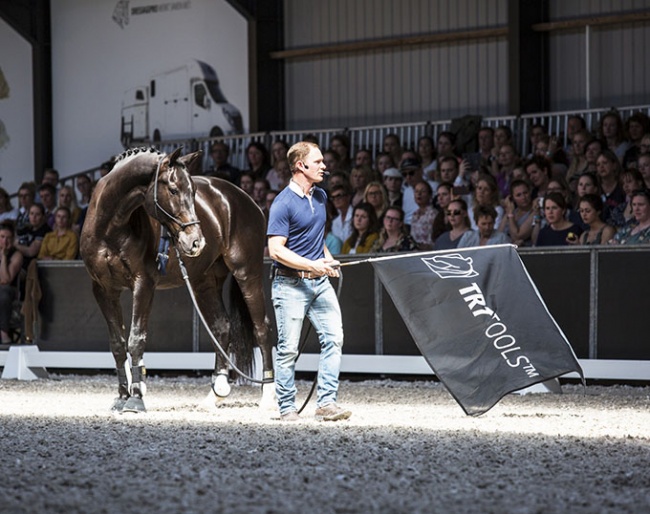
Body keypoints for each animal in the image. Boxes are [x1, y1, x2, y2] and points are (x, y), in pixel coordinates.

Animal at [81, 146, 274, 410]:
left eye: (193, 192)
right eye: (173, 190)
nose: (196, 241)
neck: (111, 227)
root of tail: (246, 199)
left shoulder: (143, 284)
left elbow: (136, 339)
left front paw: (136, 398)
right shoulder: (103, 289)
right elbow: (118, 344)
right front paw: (121, 397)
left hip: (247, 273)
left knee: (262, 328)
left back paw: (268, 396)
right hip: (204, 282)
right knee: (222, 327)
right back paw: (215, 394)